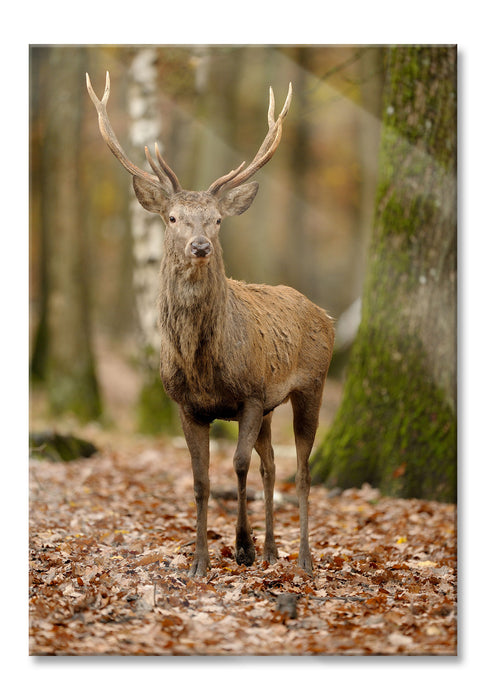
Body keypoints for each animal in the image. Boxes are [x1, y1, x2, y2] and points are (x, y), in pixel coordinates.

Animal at [87, 71, 334, 576]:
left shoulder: (251, 394)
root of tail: (326, 315)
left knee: (301, 470)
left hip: (311, 384)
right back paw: (273, 550)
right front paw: (200, 561)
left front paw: (241, 547)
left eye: (217, 220)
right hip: (274, 406)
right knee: (272, 465)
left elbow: (236, 465)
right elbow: (200, 480)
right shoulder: (187, 405)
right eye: (172, 217)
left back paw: (301, 557)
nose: (199, 246)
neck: (204, 366)